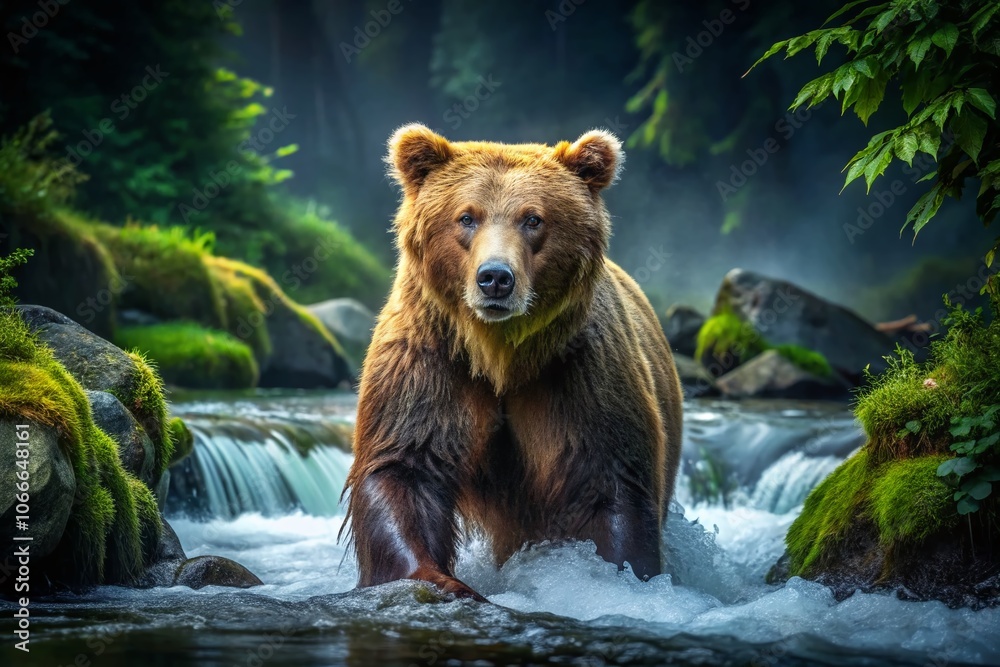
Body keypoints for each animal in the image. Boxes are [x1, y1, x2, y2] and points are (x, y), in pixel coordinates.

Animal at [342, 124, 683, 601]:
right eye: (467, 217)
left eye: (533, 219)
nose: (495, 278)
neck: (500, 354)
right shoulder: (430, 360)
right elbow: (404, 466)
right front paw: (440, 579)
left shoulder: (581, 375)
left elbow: (609, 483)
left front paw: (621, 577)